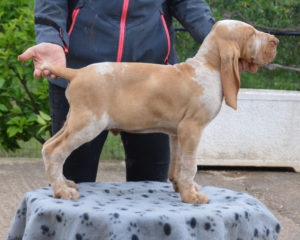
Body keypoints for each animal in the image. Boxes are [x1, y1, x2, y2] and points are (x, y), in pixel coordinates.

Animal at [41, 21, 278, 204]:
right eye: (251, 34)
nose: (275, 41)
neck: (208, 66)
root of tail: (76, 72)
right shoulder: (192, 128)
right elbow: (190, 165)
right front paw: (191, 197)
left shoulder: (177, 132)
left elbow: (178, 165)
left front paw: (184, 188)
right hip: (89, 124)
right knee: (55, 151)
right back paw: (62, 191)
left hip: (73, 121)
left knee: (48, 146)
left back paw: (63, 183)